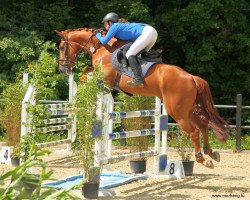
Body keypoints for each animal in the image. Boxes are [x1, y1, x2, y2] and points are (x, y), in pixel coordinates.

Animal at [56, 28, 229, 168]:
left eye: (61, 47)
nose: (63, 69)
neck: (102, 49)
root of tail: (191, 77)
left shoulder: (106, 75)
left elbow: (86, 76)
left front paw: (93, 86)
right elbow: (87, 70)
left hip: (177, 111)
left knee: (193, 131)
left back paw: (202, 159)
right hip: (187, 110)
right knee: (203, 124)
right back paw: (211, 152)